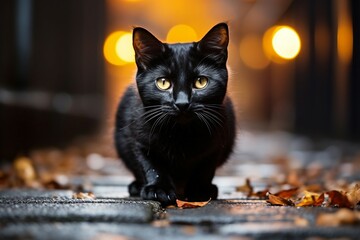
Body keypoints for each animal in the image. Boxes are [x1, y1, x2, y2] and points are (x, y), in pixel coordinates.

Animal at [114, 23, 235, 206]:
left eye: (201, 82)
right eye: (163, 83)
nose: (182, 103)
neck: (181, 134)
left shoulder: (217, 143)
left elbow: (205, 168)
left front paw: (200, 189)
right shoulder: (138, 138)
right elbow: (151, 165)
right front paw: (159, 189)